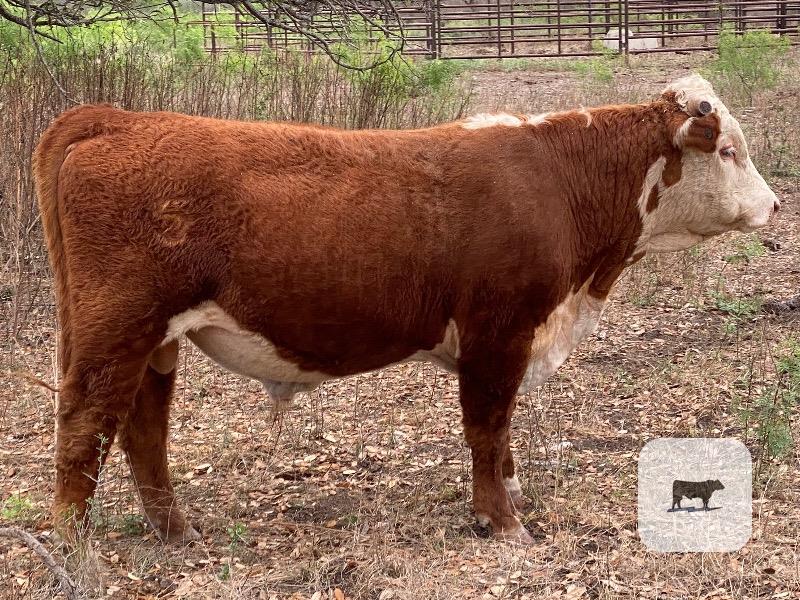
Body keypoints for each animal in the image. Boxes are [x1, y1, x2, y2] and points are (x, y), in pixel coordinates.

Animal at [33, 74, 778, 545]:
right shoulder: (497, 333)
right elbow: (486, 428)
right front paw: (502, 522)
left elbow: (501, 433)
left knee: (142, 429)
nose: (775, 204)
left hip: (153, 339)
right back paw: (72, 544)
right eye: (729, 150)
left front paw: (509, 496)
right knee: (85, 421)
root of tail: (115, 119)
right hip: (116, 326)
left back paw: (177, 532)